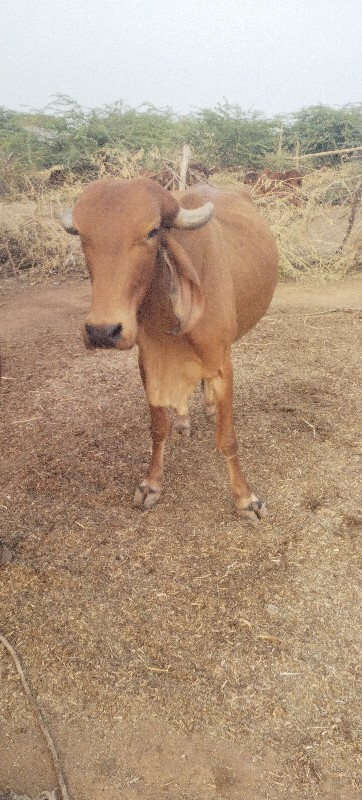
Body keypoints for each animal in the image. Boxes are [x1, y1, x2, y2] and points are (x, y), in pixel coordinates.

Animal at [61, 178, 278, 520]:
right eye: (83, 236)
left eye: (152, 232)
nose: (102, 331)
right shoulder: (149, 361)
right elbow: (157, 428)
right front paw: (152, 484)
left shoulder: (221, 362)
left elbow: (227, 439)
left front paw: (246, 498)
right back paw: (184, 419)